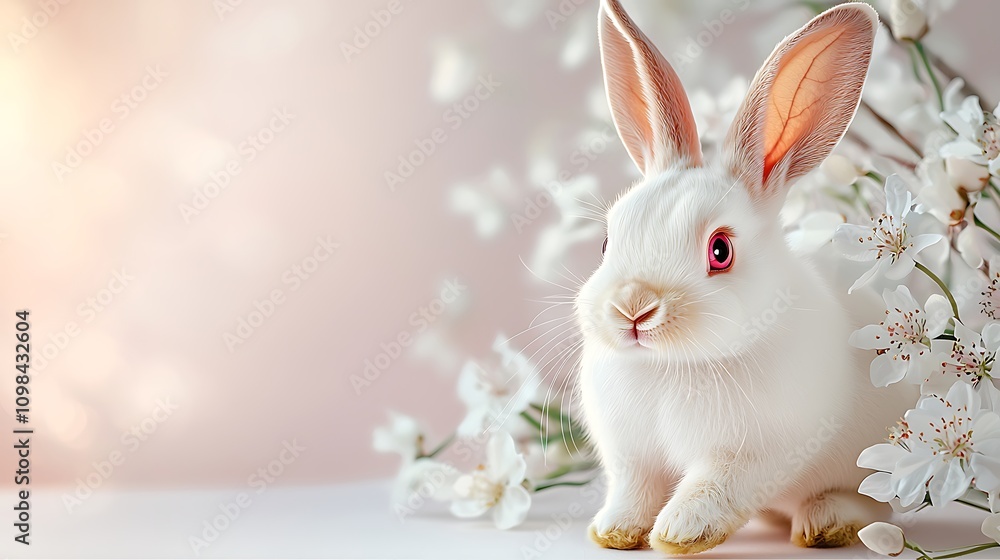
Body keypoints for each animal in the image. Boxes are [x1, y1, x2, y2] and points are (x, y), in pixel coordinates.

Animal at [575, 0, 917, 555]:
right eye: (606, 242)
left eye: (720, 251)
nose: (633, 307)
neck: (673, 365)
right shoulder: (632, 457)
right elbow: (633, 491)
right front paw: (614, 532)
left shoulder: (751, 454)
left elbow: (710, 489)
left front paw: (678, 534)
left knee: (869, 503)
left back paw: (825, 523)